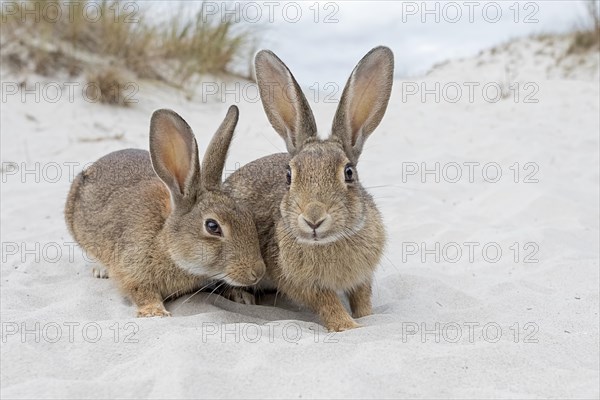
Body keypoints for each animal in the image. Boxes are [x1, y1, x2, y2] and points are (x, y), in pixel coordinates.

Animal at [63, 105, 268, 316]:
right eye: (212, 226)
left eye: (248, 215)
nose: (258, 271)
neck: (165, 242)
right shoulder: (132, 269)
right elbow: (141, 290)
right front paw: (154, 312)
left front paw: (242, 296)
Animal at [225, 47, 394, 332]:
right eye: (289, 175)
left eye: (349, 173)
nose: (313, 218)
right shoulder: (305, 284)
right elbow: (328, 303)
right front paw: (347, 326)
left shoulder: (362, 277)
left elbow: (361, 298)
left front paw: (365, 318)